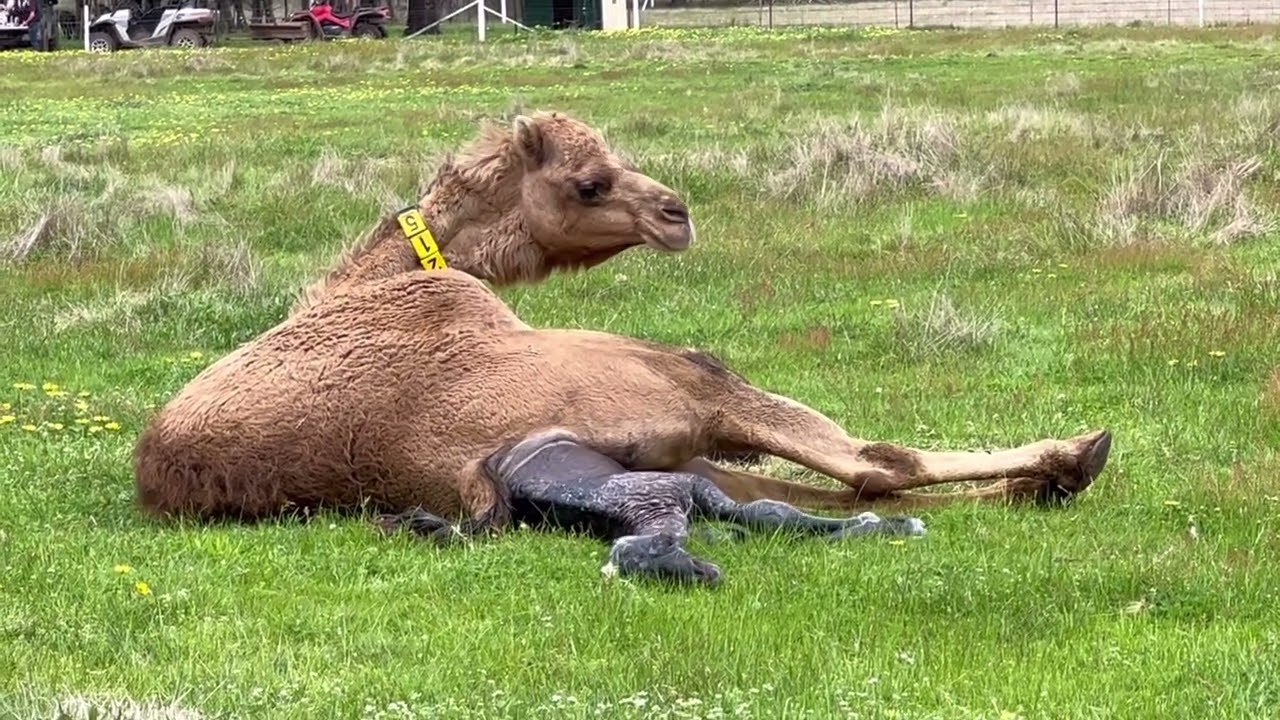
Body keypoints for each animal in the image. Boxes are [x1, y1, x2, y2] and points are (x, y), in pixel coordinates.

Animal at [132, 110, 1114, 535]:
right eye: (589, 181)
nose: (677, 214)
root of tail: (483, 477)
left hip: (671, 448)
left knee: (814, 491)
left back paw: (1041, 486)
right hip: (676, 389)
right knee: (869, 464)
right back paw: (1074, 457)